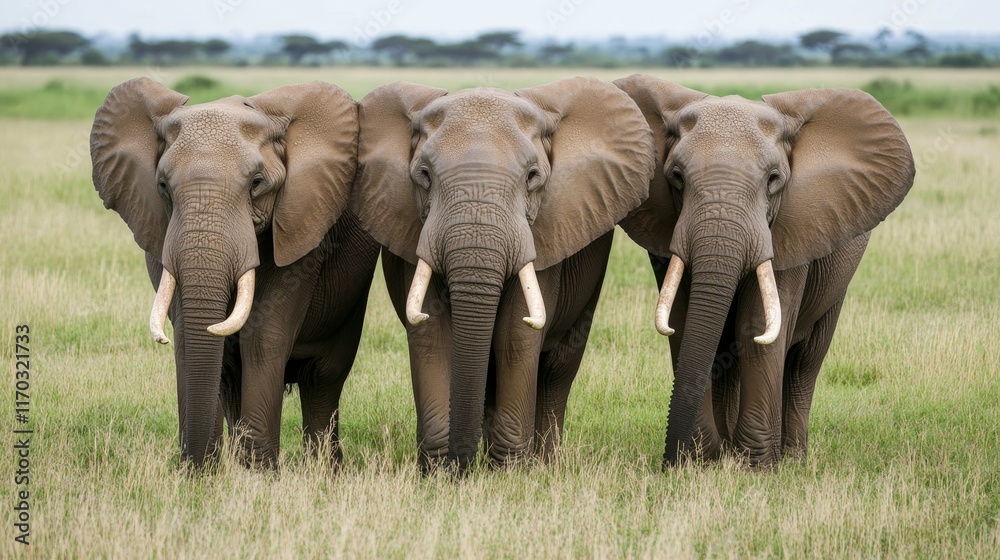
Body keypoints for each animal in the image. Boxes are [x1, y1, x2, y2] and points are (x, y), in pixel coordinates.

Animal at [90, 78, 380, 468]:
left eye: (256, 183)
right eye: (163, 185)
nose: (191, 467)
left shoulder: (303, 230)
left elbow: (264, 334)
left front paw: (260, 474)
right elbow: (189, 336)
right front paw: (211, 472)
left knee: (323, 379)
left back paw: (324, 470)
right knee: (231, 378)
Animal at [352, 77, 654, 471]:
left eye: (532, 177)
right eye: (424, 175)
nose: (462, 468)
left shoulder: (545, 232)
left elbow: (516, 335)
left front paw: (509, 472)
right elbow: (430, 333)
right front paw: (438, 471)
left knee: (558, 367)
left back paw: (545, 464)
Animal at [613, 74, 915, 468]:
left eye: (773, 179)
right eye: (676, 177)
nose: (668, 463)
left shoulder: (792, 228)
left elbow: (756, 325)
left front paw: (756, 467)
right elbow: (681, 321)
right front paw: (702, 461)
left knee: (805, 362)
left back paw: (793, 457)